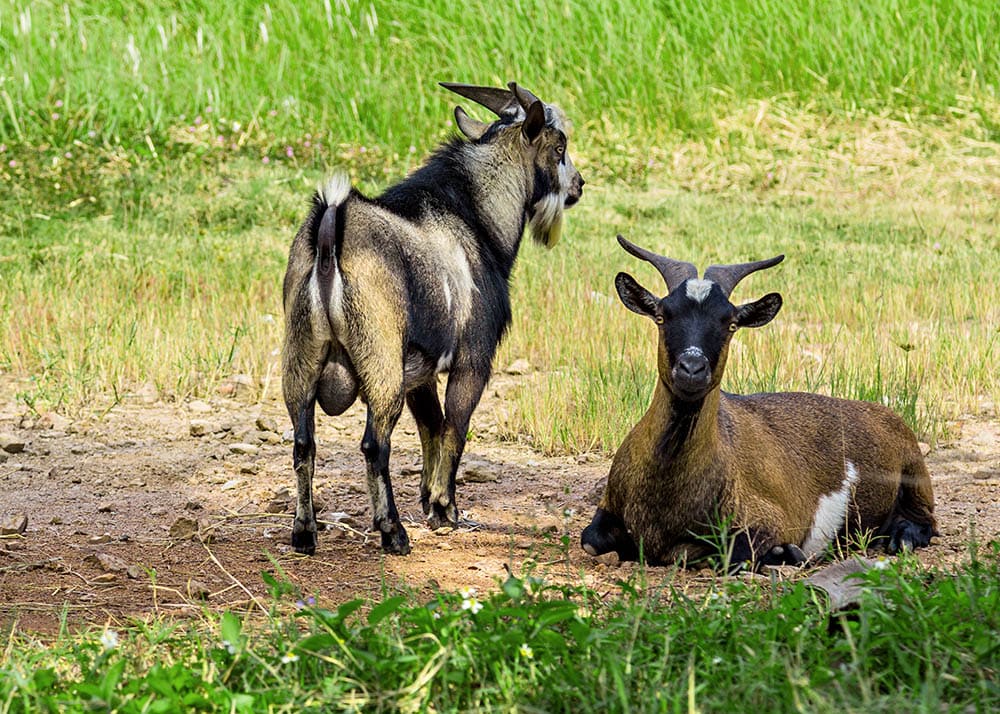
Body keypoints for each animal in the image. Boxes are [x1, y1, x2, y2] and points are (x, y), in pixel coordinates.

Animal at [282, 80, 584, 552]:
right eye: (559, 147)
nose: (578, 186)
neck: (474, 218)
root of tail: (330, 233)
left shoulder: (418, 371)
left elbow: (431, 426)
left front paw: (430, 501)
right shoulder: (472, 358)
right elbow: (454, 427)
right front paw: (444, 507)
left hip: (300, 360)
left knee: (303, 444)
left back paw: (304, 534)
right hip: (380, 362)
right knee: (374, 445)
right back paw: (393, 533)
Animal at [580, 236, 936, 572]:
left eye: (730, 323)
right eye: (661, 316)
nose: (692, 368)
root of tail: (880, 412)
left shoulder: (769, 518)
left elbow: (728, 555)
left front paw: (784, 553)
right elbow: (591, 540)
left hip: (915, 476)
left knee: (925, 522)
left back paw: (900, 536)